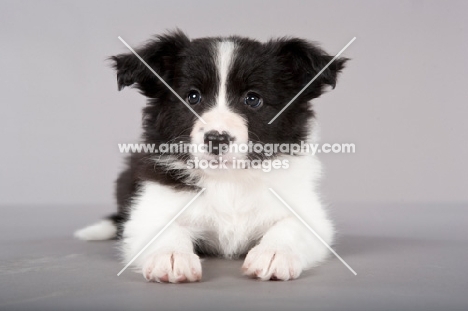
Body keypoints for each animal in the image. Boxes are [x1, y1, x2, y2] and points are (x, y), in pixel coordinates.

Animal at [75, 30, 348, 284]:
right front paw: (171, 256)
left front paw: (274, 253)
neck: (229, 180)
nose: (217, 139)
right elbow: (163, 229)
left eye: (253, 99)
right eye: (193, 97)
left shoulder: (310, 213)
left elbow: (292, 226)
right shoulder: (150, 209)